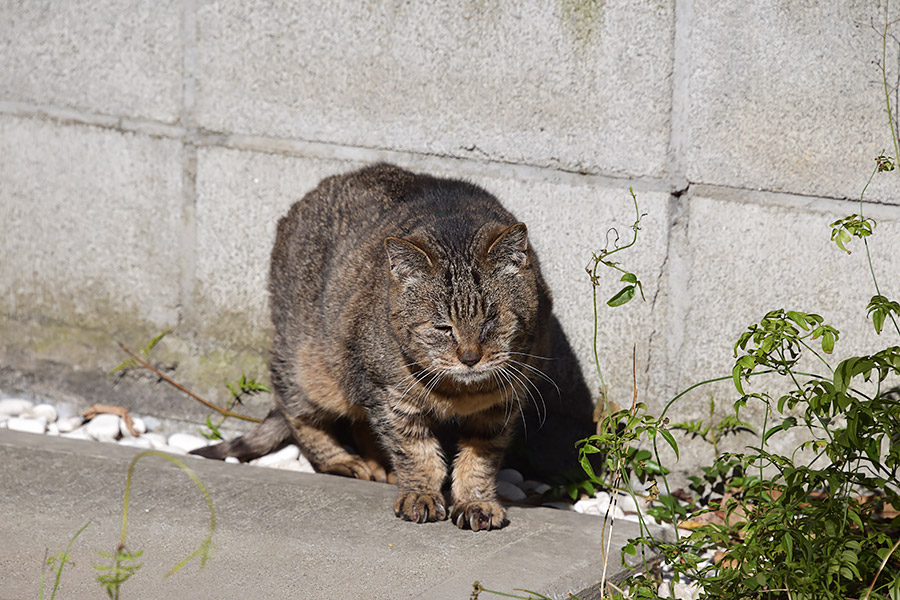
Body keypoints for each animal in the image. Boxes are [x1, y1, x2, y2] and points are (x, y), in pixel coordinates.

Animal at [194, 163, 560, 528]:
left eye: (490, 320)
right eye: (442, 327)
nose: (470, 357)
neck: (459, 393)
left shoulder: (501, 406)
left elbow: (480, 460)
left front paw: (475, 501)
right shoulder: (392, 397)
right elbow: (416, 453)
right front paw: (421, 494)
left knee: (359, 421)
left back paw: (380, 467)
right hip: (309, 361)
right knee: (293, 406)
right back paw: (341, 461)